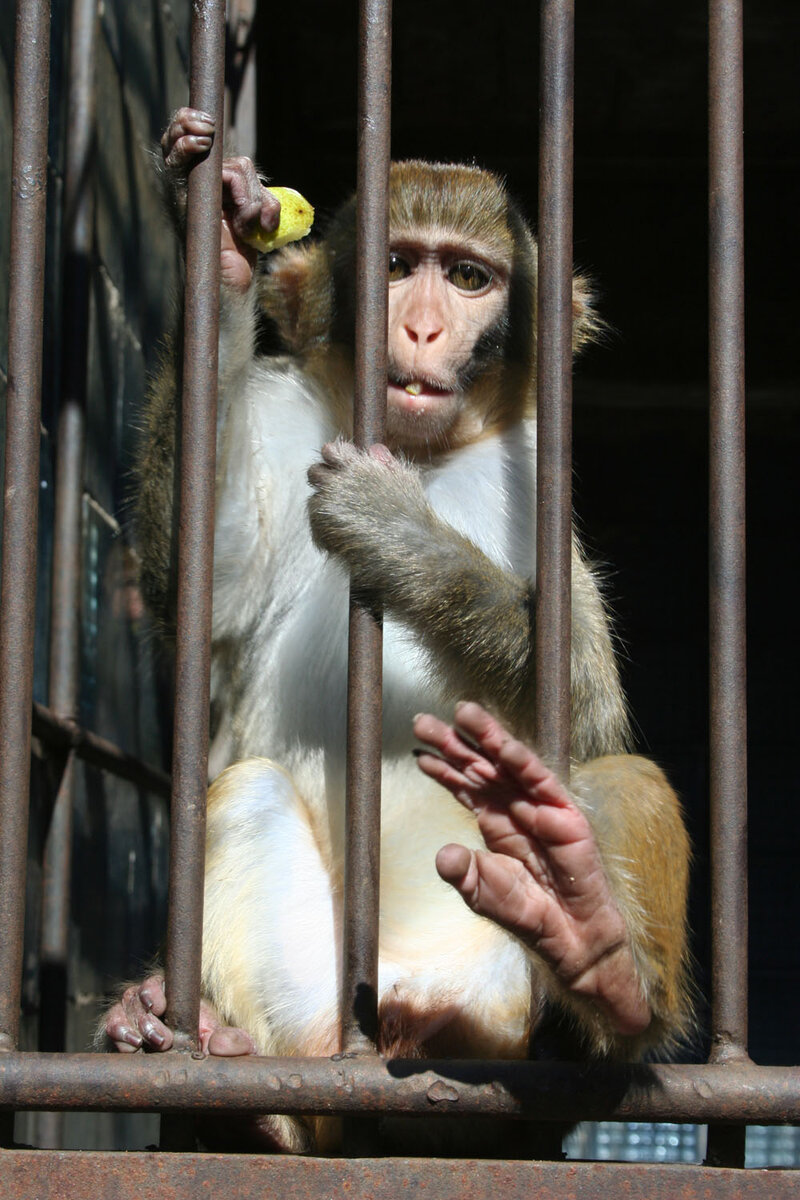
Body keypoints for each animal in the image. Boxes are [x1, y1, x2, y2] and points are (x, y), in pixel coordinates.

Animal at [103, 110, 690, 1152]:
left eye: (468, 278)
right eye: (395, 265)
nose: (419, 326)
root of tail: (414, 1025)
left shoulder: (539, 483)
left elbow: (584, 705)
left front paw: (398, 533)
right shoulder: (286, 418)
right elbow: (203, 591)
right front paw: (219, 253)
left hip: (504, 1015)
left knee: (617, 780)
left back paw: (596, 947)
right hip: (331, 1010)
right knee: (246, 793)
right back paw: (230, 1070)